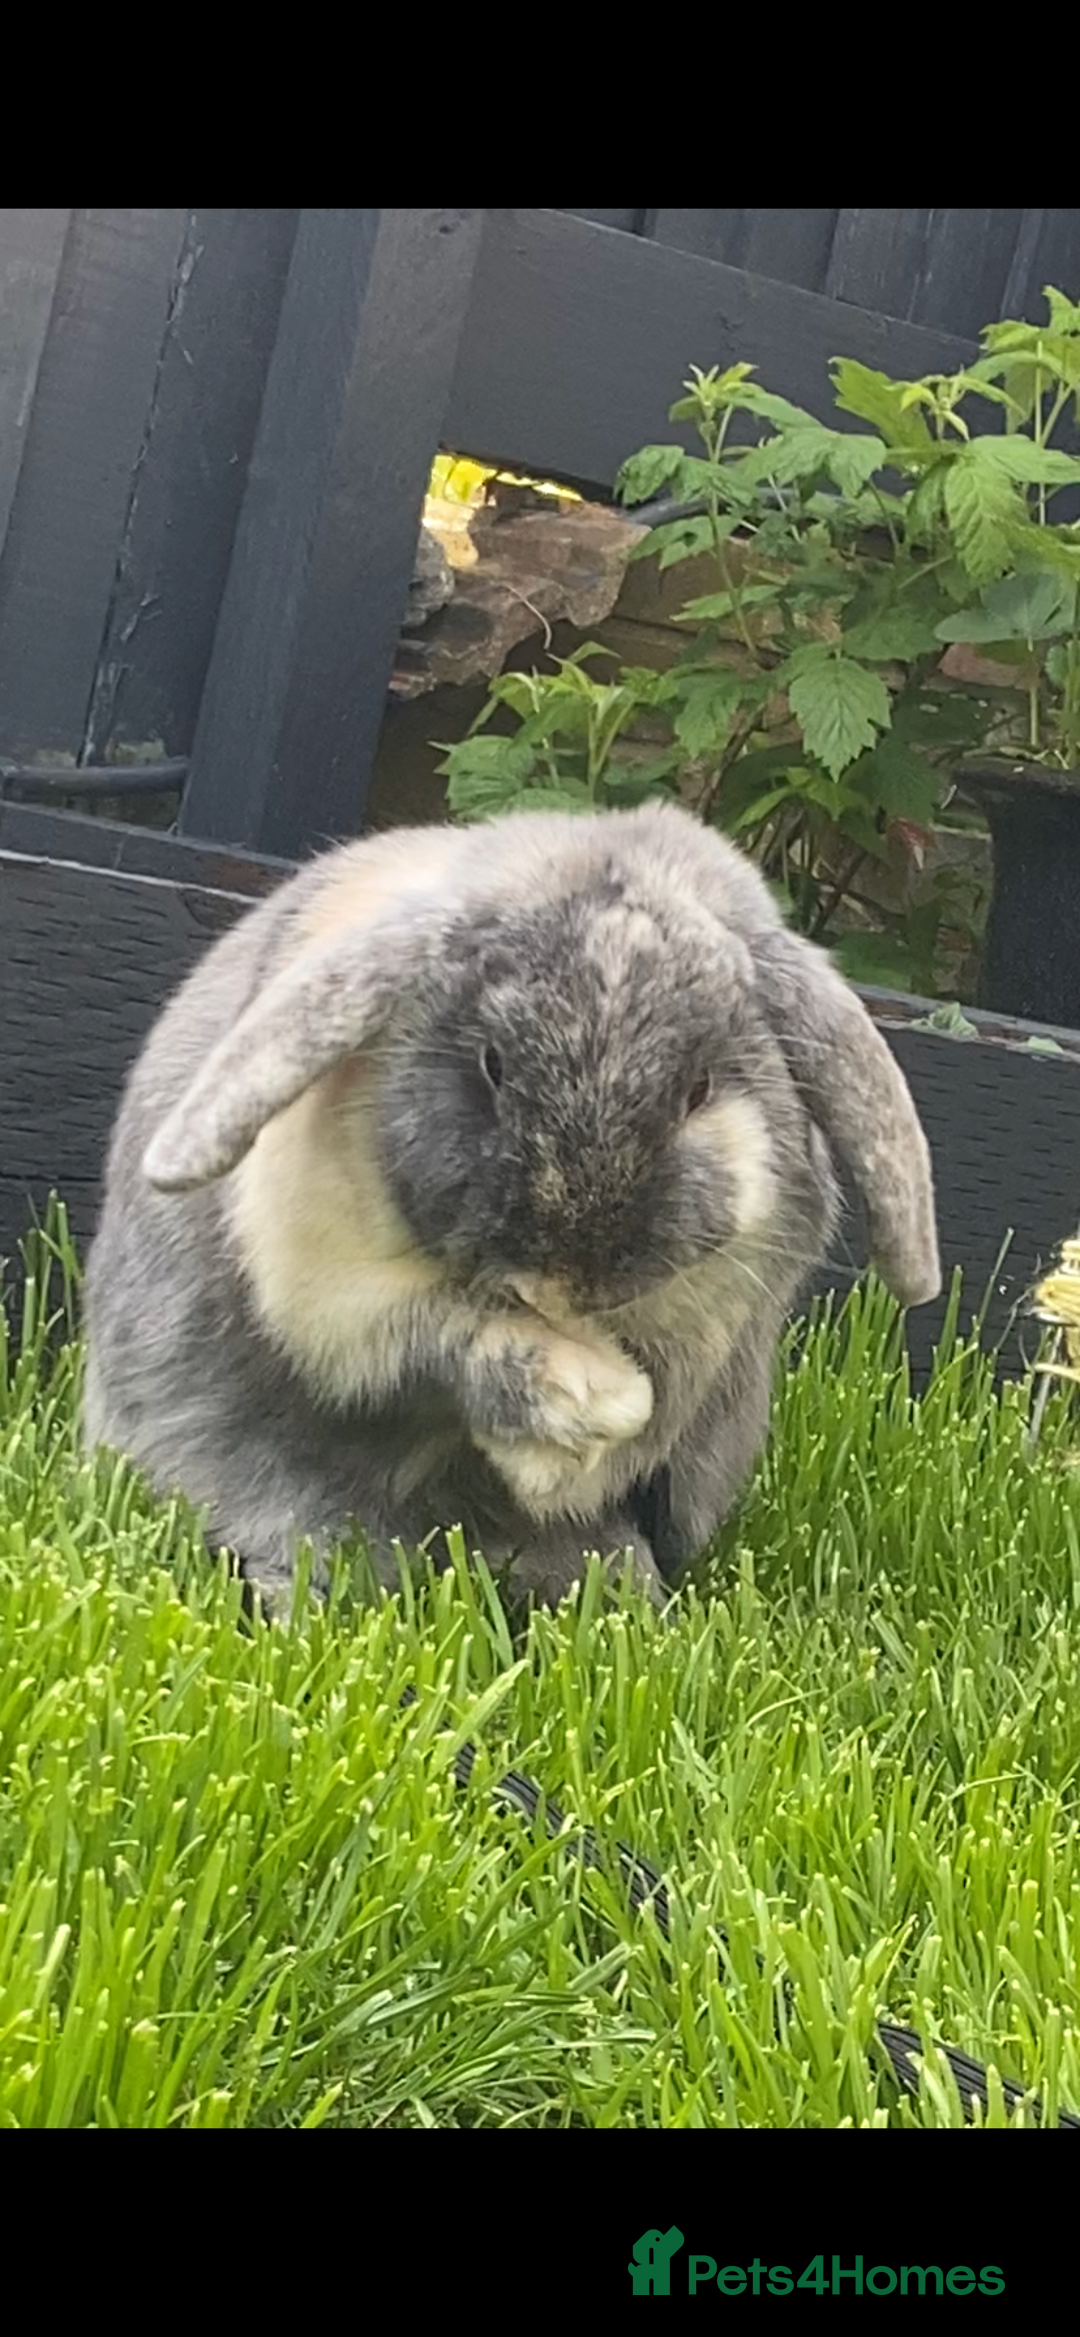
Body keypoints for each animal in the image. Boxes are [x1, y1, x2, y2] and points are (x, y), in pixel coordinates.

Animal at [81, 800, 940, 1613]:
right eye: (492, 1065)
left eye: (697, 1090)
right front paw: (579, 1396)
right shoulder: (331, 1288)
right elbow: (448, 1337)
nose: (567, 1278)